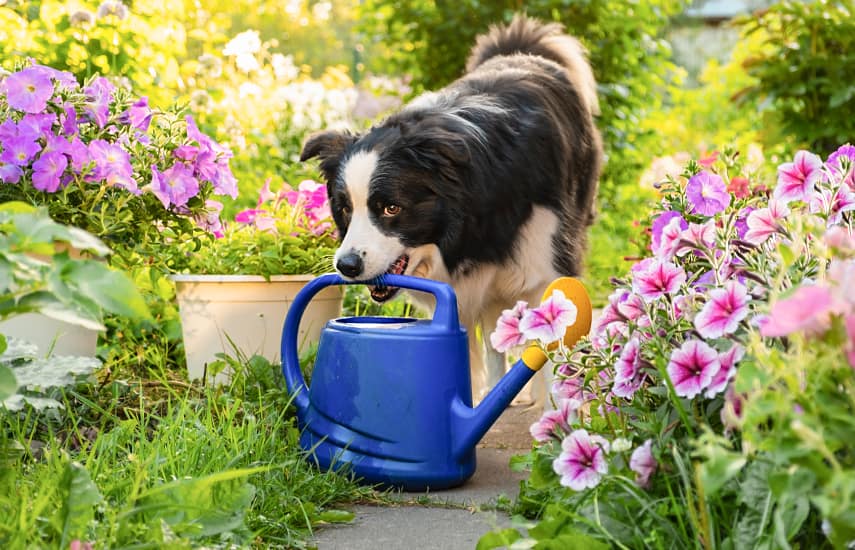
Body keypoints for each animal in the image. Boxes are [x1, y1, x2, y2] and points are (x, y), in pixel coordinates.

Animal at [300, 16, 600, 406]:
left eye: (391, 208)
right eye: (346, 209)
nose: (346, 266)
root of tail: (521, 49)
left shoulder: (544, 260)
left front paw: (557, 413)